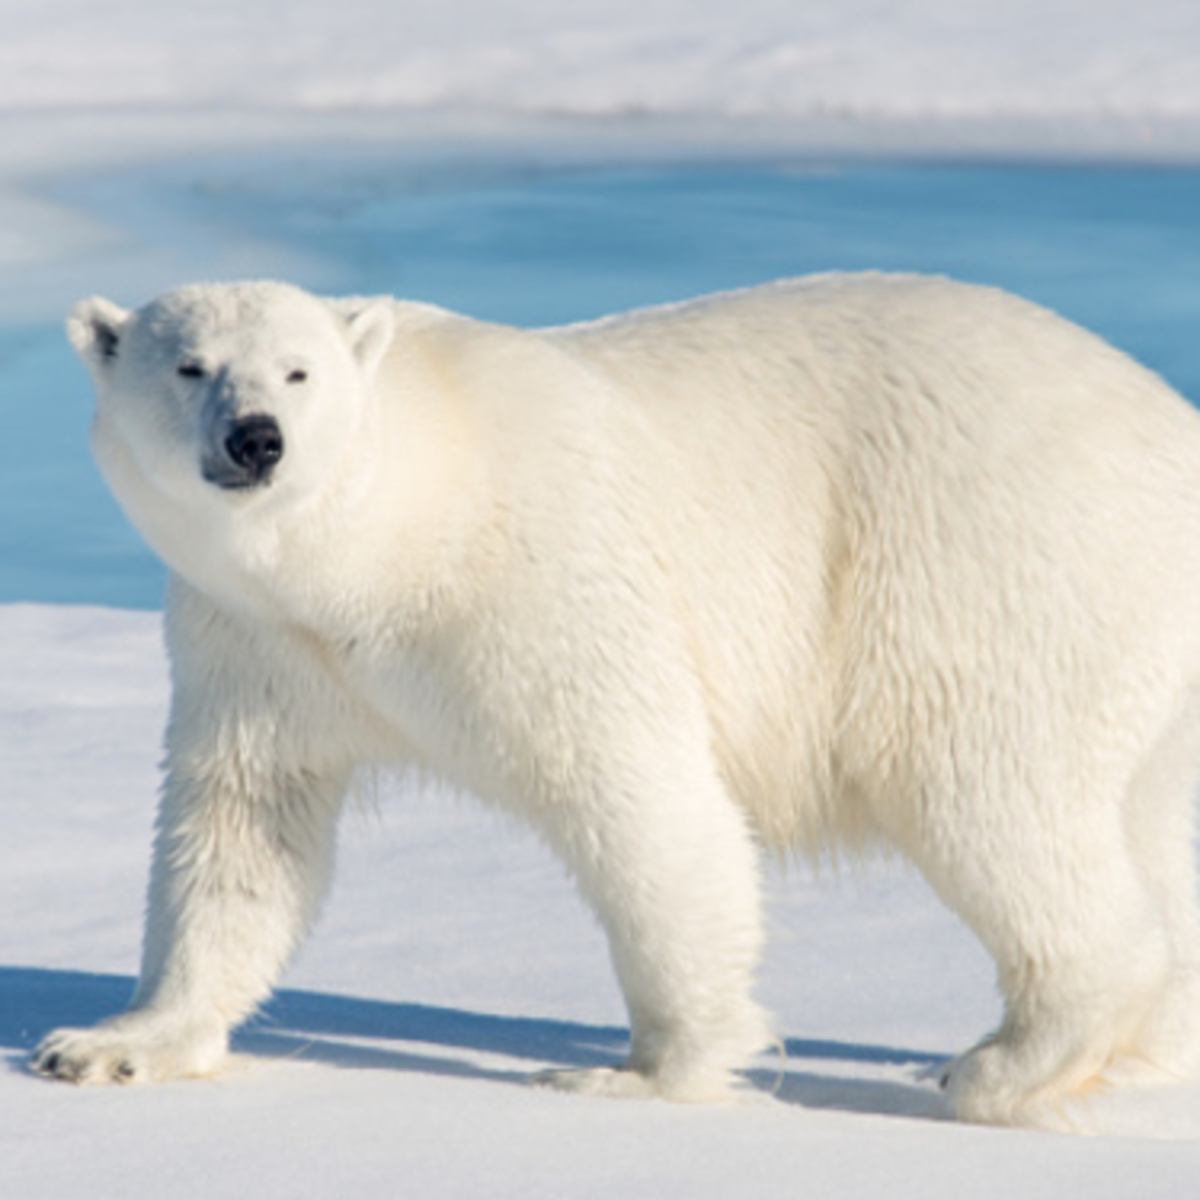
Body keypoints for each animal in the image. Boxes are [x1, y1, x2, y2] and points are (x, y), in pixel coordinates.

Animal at [32, 272, 1200, 1123]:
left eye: (299, 370)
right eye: (189, 365)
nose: (256, 438)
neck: (395, 535)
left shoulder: (542, 582)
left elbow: (641, 800)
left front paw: (638, 1073)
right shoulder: (260, 644)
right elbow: (240, 831)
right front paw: (109, 1045)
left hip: (988, 566)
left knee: (988, 794)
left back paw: (1003, 1063)